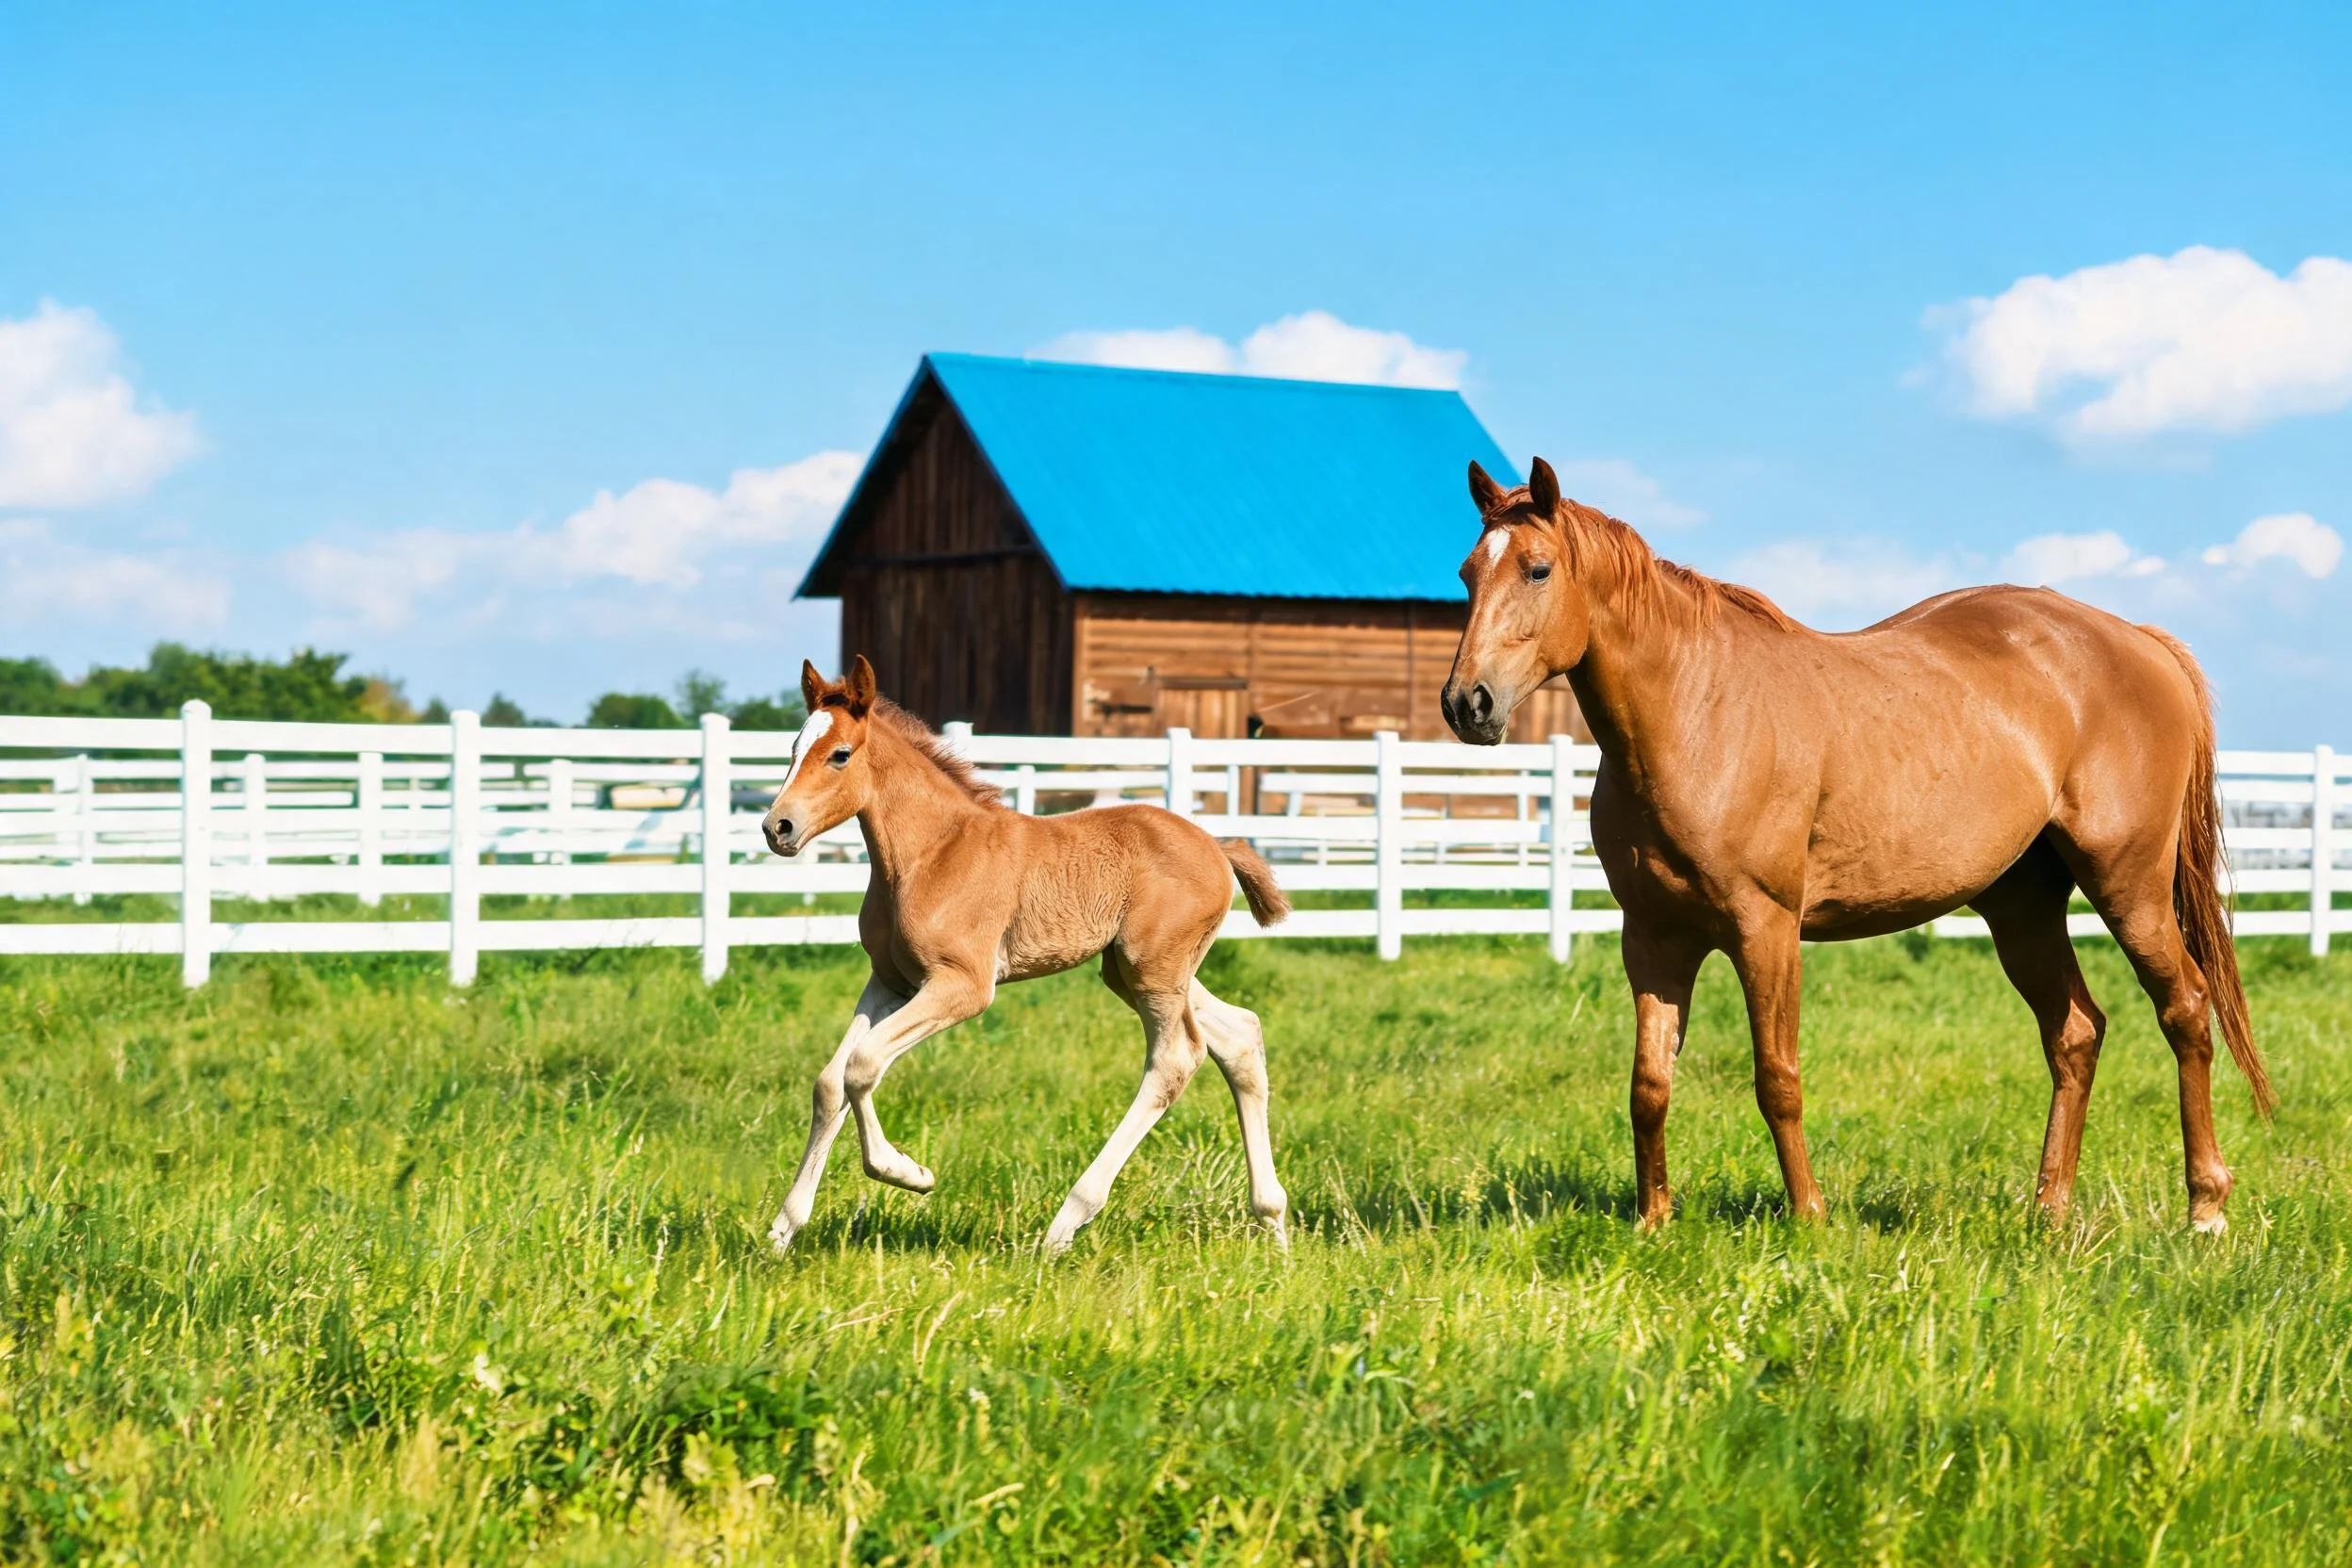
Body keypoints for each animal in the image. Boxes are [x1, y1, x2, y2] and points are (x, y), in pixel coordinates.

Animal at [758, 656, 1293, 1255]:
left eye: (840, 754)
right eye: (793, 750)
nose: (777, 827)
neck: (930, 854)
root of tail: (1217, 847)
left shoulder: (963, 986)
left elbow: (863, 1065)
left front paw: (909, 1173)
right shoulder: (889, 981)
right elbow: (831, 1082)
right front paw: (783, 1230)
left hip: (1152, 971)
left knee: (1176, 1059)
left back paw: (1065, 1224)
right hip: (1137, 970)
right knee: (1240, 1035)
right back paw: (1273, 1224)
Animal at [1441, 457, 2273, 1233]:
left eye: (1538, 568)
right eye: (1467, 574)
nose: (1466, 703)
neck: (1696, 710)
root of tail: (2141, 643)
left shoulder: (1767, 931)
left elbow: (1776, 1078)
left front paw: (1809, 1216)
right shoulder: (1652, 938)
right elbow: (1649, 1085)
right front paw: (1654, 1222)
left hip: (2128, 886)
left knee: (2185, 1008)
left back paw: (2205, 1206)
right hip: (2022, 908)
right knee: (2074, 1032)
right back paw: (2049, 1209)